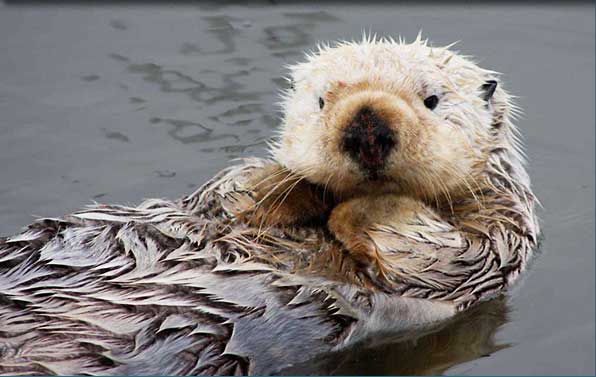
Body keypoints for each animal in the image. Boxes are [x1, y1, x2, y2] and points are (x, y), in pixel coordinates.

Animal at [0, 36, 540, 374]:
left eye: (432, 99)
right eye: (321, 101)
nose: (367, 129)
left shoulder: (500, 238)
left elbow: (449, 253)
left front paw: (358, 210)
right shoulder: (211, 201)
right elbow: (228, 191)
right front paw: (285, 185)